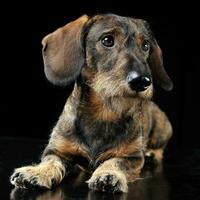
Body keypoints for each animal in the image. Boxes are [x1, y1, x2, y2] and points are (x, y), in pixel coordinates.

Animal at [10, 13, 173, 192]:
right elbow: (51, 161)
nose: (142, 81)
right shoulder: (57, 150)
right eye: (107, 40)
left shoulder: (132, 157)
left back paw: (151, 154)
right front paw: (37, 172)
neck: (104, 112)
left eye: (145, 45)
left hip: (163, 129)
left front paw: (109, 174)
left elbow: (115, 162)